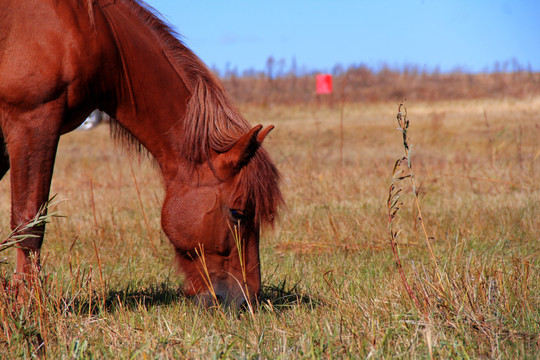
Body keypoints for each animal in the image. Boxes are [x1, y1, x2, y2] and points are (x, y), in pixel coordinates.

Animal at [0, 0, 284, 308]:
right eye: (238, 213)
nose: (247, 299)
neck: (91, 32)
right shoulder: (32, 121)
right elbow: (29, 223)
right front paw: (27, 304)